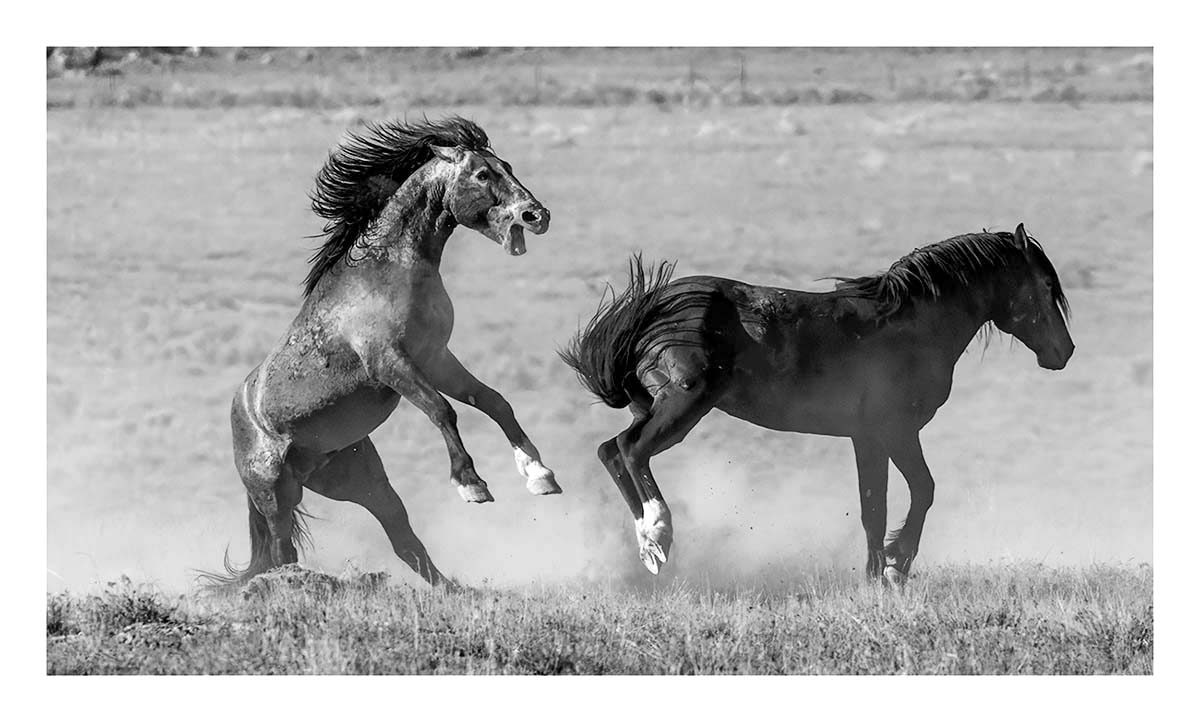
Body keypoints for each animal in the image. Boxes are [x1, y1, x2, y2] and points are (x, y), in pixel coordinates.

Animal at [204, 117, 561, 590]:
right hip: (276, 494)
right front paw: (471, 483)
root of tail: (239, 413)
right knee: (283, 554)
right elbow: (442, 409)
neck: (393, 268)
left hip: (359, 480)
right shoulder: (390, 363)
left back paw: (454, 590)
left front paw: (540, 474)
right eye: (483, 174)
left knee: (403, 539)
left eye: (507, 166)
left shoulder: (436, 358)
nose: (536, 215)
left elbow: (494, 402)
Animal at [560, 224, 1073, 586]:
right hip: (683, 404)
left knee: (611, 451)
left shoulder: (867, 438)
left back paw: (647, 546)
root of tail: (654, 308)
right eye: (1046, 286)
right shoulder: (894, 430)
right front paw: (896, 566)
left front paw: (877, 578)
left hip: (653, 404)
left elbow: (874, 508)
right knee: (630, 450)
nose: (1064, 352)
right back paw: (657, 536)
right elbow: (920, 491)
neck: (913, 326)